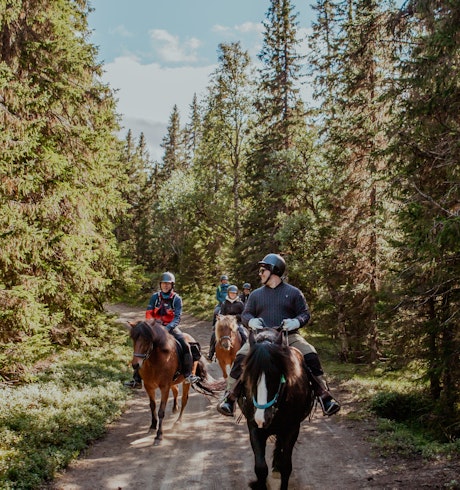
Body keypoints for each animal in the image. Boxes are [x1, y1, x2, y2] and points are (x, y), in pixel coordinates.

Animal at [237, 330, 312, 490]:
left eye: (276, 376)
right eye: (249, 375)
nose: (262, 418)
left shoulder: (292, 429)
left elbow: (286, 467)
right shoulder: (254, 428)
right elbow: (260, 468)